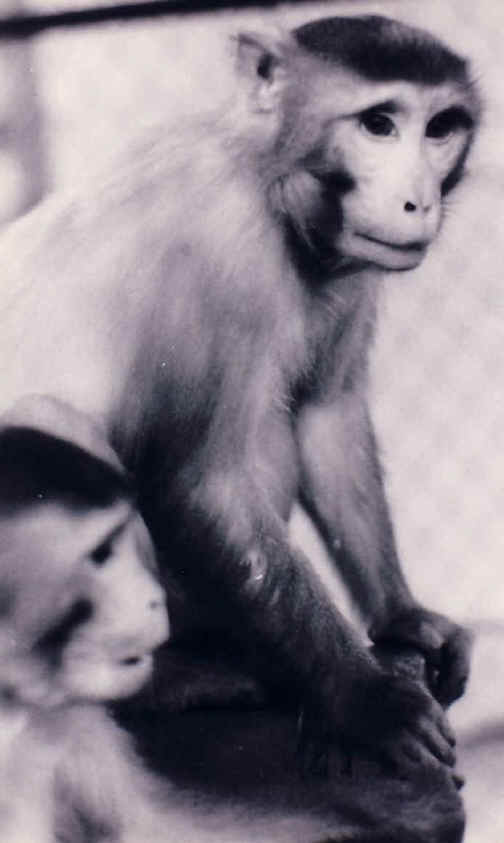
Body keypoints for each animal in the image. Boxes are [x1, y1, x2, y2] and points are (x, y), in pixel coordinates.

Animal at [0, 14, 481, 778]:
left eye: (440, 128)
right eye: (378, 124)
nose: (419, 199)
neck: (267, 180)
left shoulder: (352, 256)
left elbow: (325, 415)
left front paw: (405, 618)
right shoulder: (219, 246)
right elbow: (206, 483)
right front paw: (364, 698)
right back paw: (163, 683)